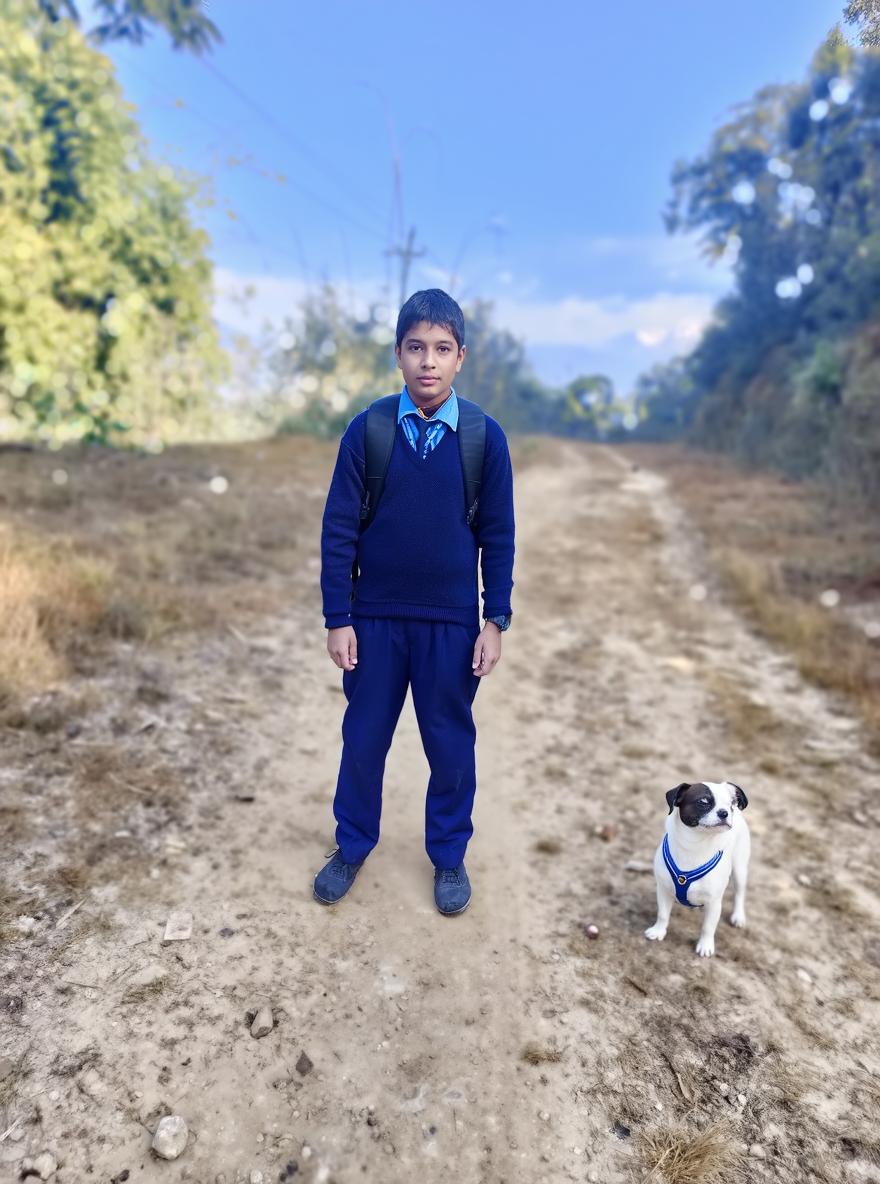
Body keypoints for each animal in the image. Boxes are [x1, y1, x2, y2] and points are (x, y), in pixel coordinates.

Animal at [649, 781, 748, 956]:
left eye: (731, 805)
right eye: (703, 802)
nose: (724, 813)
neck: (696, 844)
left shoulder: (714, 903)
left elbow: (708, 927)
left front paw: (705, 946)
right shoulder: (663, 890)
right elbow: (662, 914)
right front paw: (658, 931)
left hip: (740, 870)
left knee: (739, 893)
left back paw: (738, 916)